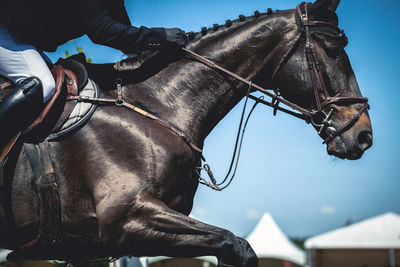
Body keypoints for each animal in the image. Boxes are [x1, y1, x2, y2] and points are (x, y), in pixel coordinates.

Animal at [0, 1, 372, 266]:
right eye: (334, 51)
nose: (364, 135)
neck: (157, 106)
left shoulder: (93, 246)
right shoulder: (126, 220)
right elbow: (237, 245)